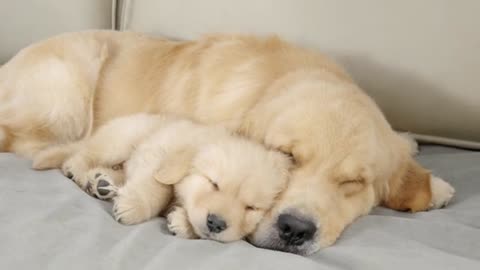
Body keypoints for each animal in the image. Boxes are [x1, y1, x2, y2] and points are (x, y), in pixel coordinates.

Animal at [34, 113, 288, 242]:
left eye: (251, 208)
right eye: (213, 183)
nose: (216, 223)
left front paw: (183, 223)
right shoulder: (157, 151)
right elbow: (157, 186)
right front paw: (134, 206)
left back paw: (103, 182)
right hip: (122, 138)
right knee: (82, 154)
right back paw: (79, 171)